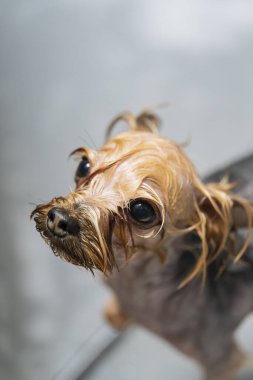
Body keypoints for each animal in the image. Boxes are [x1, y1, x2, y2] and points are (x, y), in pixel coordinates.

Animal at [31, 110, 253, 380]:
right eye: (83, 166)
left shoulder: (220, 359)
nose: (60, 219)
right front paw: (117, 314)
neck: (132, 283)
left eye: (141, 210)